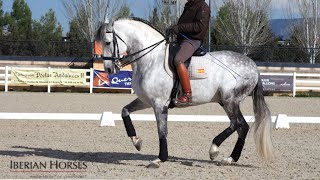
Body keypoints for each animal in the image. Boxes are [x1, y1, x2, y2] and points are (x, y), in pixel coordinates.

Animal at [95, 17, 272, 168]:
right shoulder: (145, 101)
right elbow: (125, 111)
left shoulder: (159, 104)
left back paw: (214, 150)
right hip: (226, 102)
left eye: (107, 42)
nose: (108, 69)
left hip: (230, 100)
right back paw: (229, 159)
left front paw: (160, 158)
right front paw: (137, 141)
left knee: (236, 124)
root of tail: (253, 66)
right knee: (242, 126)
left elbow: (162, 131)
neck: (151, 59)